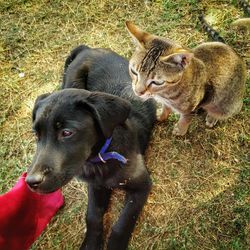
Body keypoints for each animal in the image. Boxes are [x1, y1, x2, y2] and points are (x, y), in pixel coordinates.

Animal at [24, 46, 154, 249]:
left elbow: (124, 221)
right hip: (72, 78)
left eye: (67, 132)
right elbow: (92, 216)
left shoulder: (141, 186)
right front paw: (91, 243)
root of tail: (89, 48)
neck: (101, 158)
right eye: (36, 134)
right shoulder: (96, 186)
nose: (31, 182)